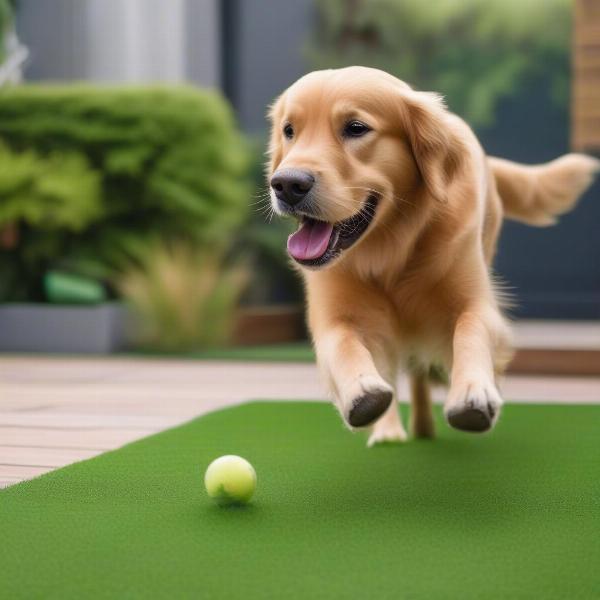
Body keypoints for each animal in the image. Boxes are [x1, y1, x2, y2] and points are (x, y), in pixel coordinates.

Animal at [268, 67, 600, 446]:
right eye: (289, 131)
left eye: (355, 128)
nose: (286, 184)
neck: (391, 252)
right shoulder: (334, 315)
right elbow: (344, 345)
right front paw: (362, 393)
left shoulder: (475, 301)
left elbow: (470, 332)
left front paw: (473, 392)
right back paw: (391, 432)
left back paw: (425, 427)